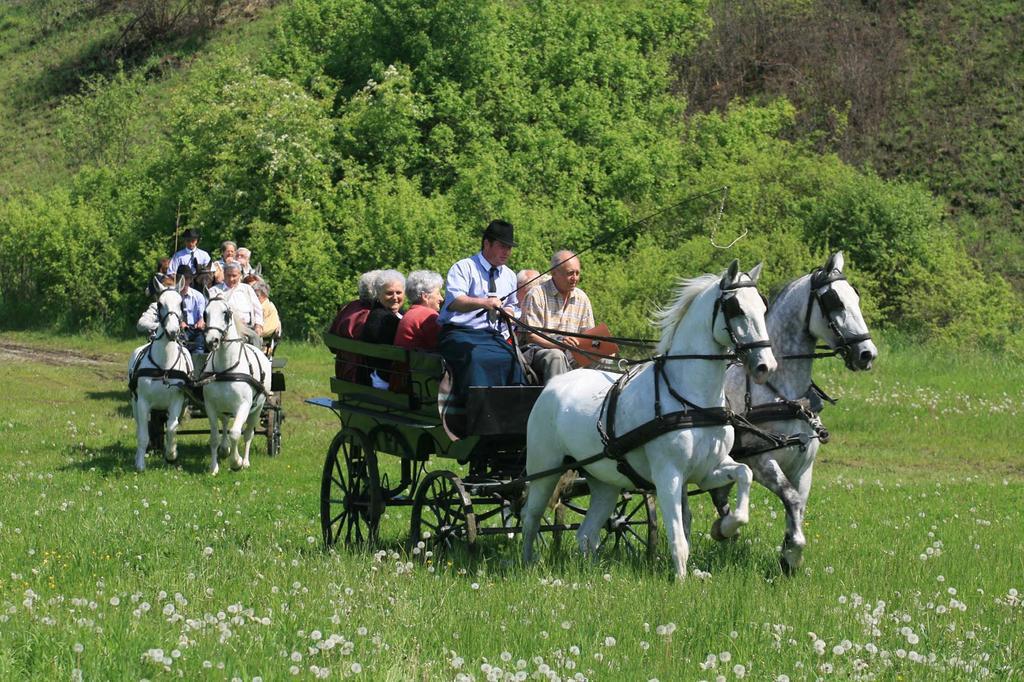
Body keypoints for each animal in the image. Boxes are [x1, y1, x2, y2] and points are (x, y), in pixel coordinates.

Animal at [129, 278, 194, 471]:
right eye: (159, 304)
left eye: (181, 303)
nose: (173, 331)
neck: (164, 367)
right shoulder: (142, 403)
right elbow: (143, 434)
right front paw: (140, 464)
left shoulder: (177, 401)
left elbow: (172, 427)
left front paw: (171, 454)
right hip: (135, 402)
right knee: (142, 427)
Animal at [199, 290, 270, 473]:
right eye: (205, 313)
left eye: (226, 313)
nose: (212, 341)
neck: (226, 369)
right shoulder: (210, 405)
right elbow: (215, 436)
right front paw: (214, 467)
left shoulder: (244, 406)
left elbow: (236, 433)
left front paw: (236, 462)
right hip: (225, 408)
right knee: (224, 424)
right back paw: (225, 449)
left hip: (257, 408)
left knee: (248, 433)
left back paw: (245, 461)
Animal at [520, 260, 774, 577]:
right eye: (736, 308)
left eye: (762, 307)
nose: (765, 366)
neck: (689, 399)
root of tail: (553, 385)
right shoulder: (668, 476)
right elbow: (678, 536)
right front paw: (681, 578)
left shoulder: (707, 469)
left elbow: (744, 474)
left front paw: (725, 528)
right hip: (545, 468)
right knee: (530, 517)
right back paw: (528, 563)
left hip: (604, 481)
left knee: (587, 533)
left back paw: (593, 572)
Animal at [716, 250, 876, 573]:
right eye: (835, 302)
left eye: (855, 296)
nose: (867, 354)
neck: (782, 393)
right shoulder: (761, 463)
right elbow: (789, 498)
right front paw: (794, 549)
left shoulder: (804, 468)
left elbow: (798, 505)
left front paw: (789, 555)